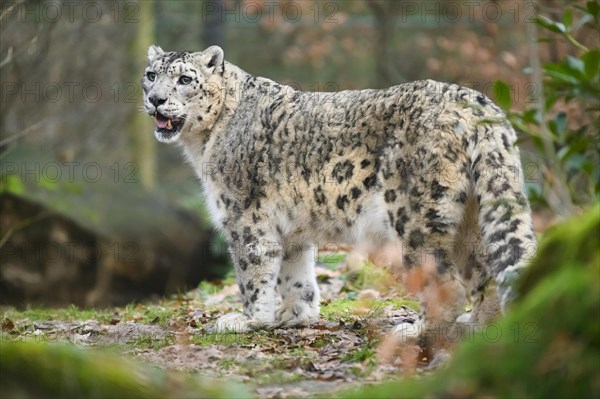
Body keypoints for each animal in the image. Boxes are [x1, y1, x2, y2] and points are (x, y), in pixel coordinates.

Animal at [143, 45, 536, 340]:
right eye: (150, 75)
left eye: (184, 79)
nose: (156, 100)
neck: (200, 145)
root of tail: (474, 100)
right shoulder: (291, 230)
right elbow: (295, 274)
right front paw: (294, 315)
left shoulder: (244, 218)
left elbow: (253, 274)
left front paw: (249, 319)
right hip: (470, 216)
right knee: (485, 271)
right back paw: (479, 325)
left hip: (414, 214)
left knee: (446, 282)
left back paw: (415, 329)